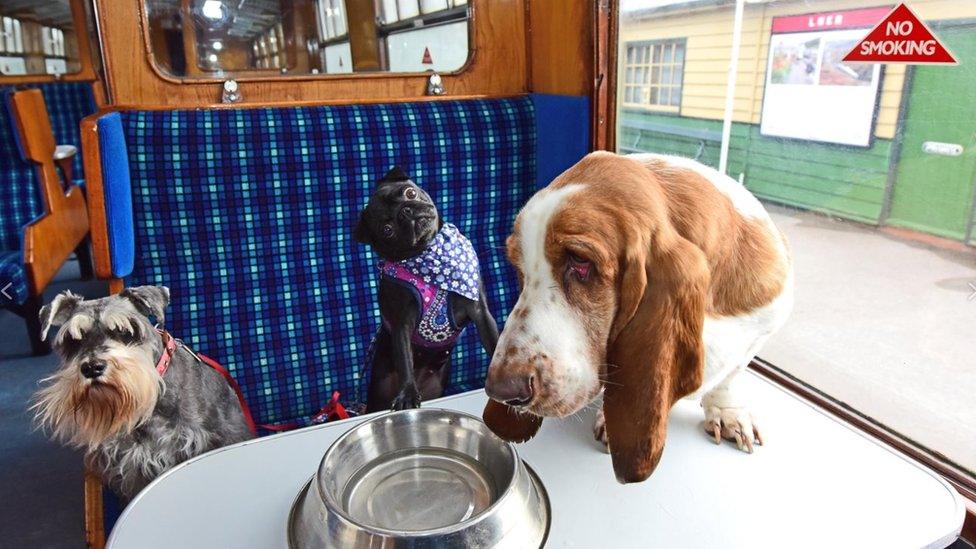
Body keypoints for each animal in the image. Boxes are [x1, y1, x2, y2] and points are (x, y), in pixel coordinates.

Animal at [482, 152, 792, 482]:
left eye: (580, 262)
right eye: (519, 267)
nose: (501, 390)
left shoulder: (765, 324)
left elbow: (731, 375)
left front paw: (726, 412)